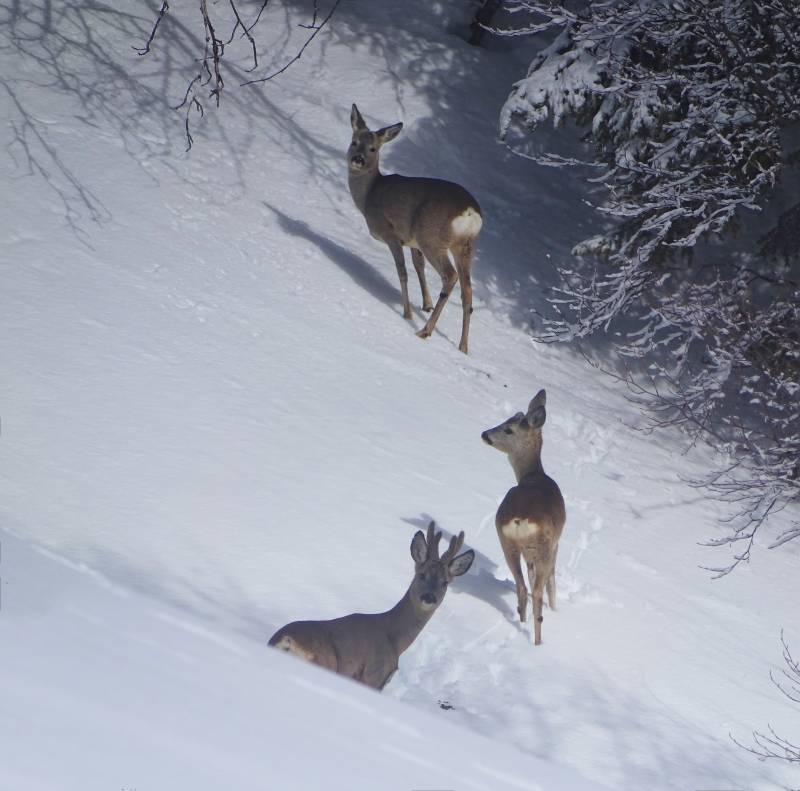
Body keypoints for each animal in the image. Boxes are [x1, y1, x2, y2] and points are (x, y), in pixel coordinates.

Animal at [268, 524, 472, 688]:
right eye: (421, 574)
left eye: (445, 582)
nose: (429, 597)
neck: (394, 639)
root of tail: (285, 640)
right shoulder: (373, 676)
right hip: (324, 664)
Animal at [346, 105, 482, 356]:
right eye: (354, 141)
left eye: (373, 148)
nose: (357, 159)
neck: (369, 195)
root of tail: (470, 213)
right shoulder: (412, 242)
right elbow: (418, 267)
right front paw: (426, 304)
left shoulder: (391, 233)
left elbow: (403, 272)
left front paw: (408, 313)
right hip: (464, 246)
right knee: (467, 289)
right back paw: (463, 346)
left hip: (431, 237)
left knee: (450, 276)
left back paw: (424, 331)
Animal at [478, 388, 564, 644]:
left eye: (508, 428)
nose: (485, 433)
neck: (533, 474)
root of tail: (519, 518)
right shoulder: (556, 544)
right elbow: (551, 581)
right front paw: (555, 608)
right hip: (544, 545)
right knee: (536, 590)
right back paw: (537, 641)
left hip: (506, 540)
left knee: (522, 587)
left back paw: (522, 622)